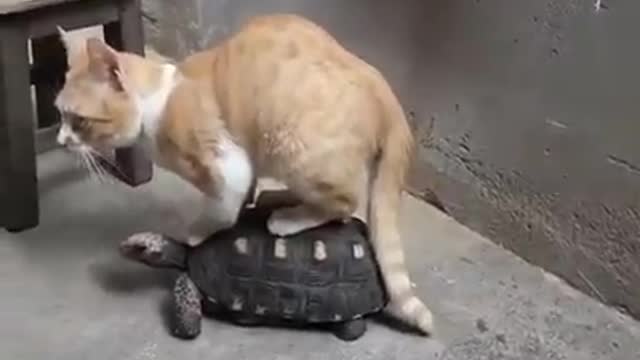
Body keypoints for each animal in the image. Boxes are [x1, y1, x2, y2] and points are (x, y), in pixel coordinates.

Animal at [56, 14, 436, 334]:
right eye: (59, 114)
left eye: (79, 121)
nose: (61, 141)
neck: (157, 105)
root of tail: (382, 86)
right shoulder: (244, 167)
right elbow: (241, 199)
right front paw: (246, 209)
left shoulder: (227, 164)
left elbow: (219, 213)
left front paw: (195, 235)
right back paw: (277, 198)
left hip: (293, 148)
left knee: (344, 203)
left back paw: (288, 218)